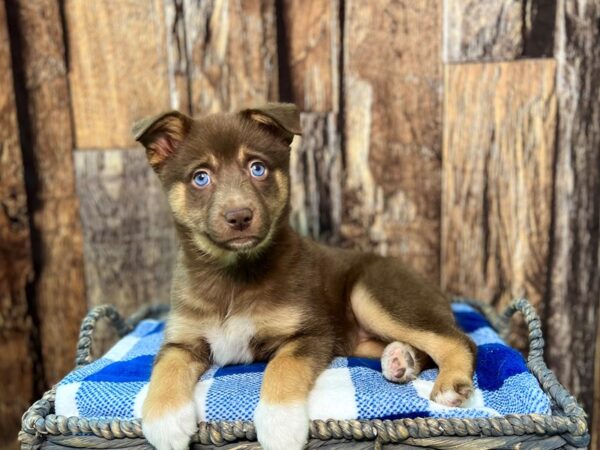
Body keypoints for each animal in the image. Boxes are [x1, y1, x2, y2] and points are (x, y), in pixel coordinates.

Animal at [134, 103, 476, 450]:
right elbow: (164, 369)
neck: (233, 274)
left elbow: (283, 367)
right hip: (359, 338)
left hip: (371, 294)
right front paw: (164, 421)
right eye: (200, 178)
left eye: (258, 168)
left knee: (458, 339)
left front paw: (279, 423)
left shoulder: (311, 334)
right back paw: (400, 360)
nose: (240, 216)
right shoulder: (182, 340)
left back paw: (450, 382)